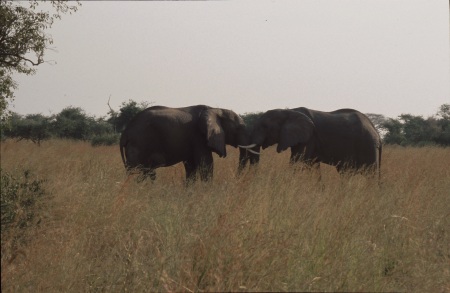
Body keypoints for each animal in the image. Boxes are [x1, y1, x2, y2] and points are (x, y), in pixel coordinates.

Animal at [120, 105, 260, 181]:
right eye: (238, 128)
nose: (236, 178)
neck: (215, 109)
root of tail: (125, 132)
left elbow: (191, 167)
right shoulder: (199, 137)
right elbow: (206, 164)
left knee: (147, 172)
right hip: (138, 144)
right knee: (136, 171)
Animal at [241, 106, 382, 177]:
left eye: (264, 126)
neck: (289, 111)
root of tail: (377, 133)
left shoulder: (309, 138)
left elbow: (297, 161)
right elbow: (312, 165)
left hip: (368, 146)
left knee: (370, 174)